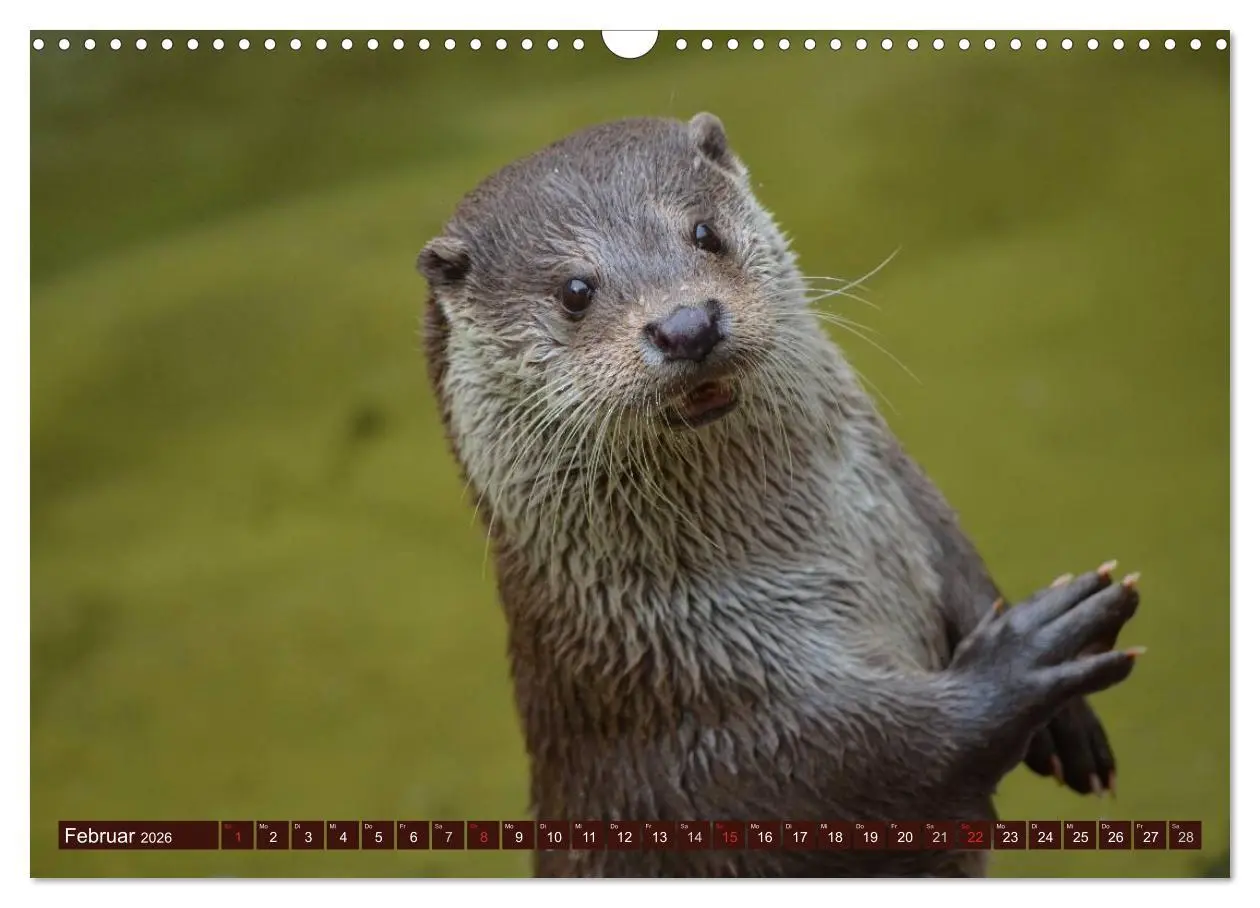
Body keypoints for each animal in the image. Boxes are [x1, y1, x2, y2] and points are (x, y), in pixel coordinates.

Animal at [417, 113, 1142, 877]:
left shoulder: (907, 497)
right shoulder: (705, 720)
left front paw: (1068, 722)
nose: (686, 324)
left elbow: (962, 562)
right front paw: (1028, 658)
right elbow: (866, 767)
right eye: (575, 290)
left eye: (705, 233)